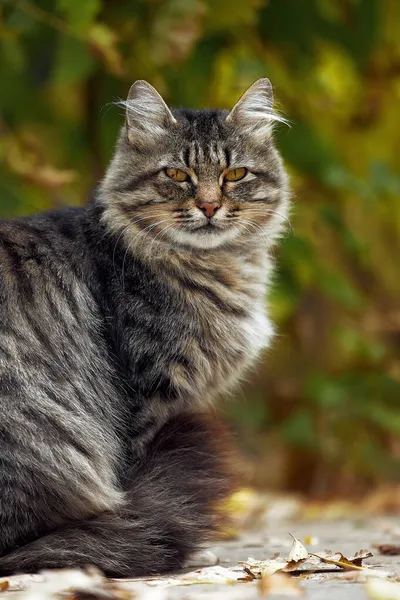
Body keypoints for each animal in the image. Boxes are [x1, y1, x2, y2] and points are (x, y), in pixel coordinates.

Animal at [0, 79, 290, 576]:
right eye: (176, 175)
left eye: (235, 175)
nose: (209, 206)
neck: (217, 267)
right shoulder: (148, 393)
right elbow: (134, 478)